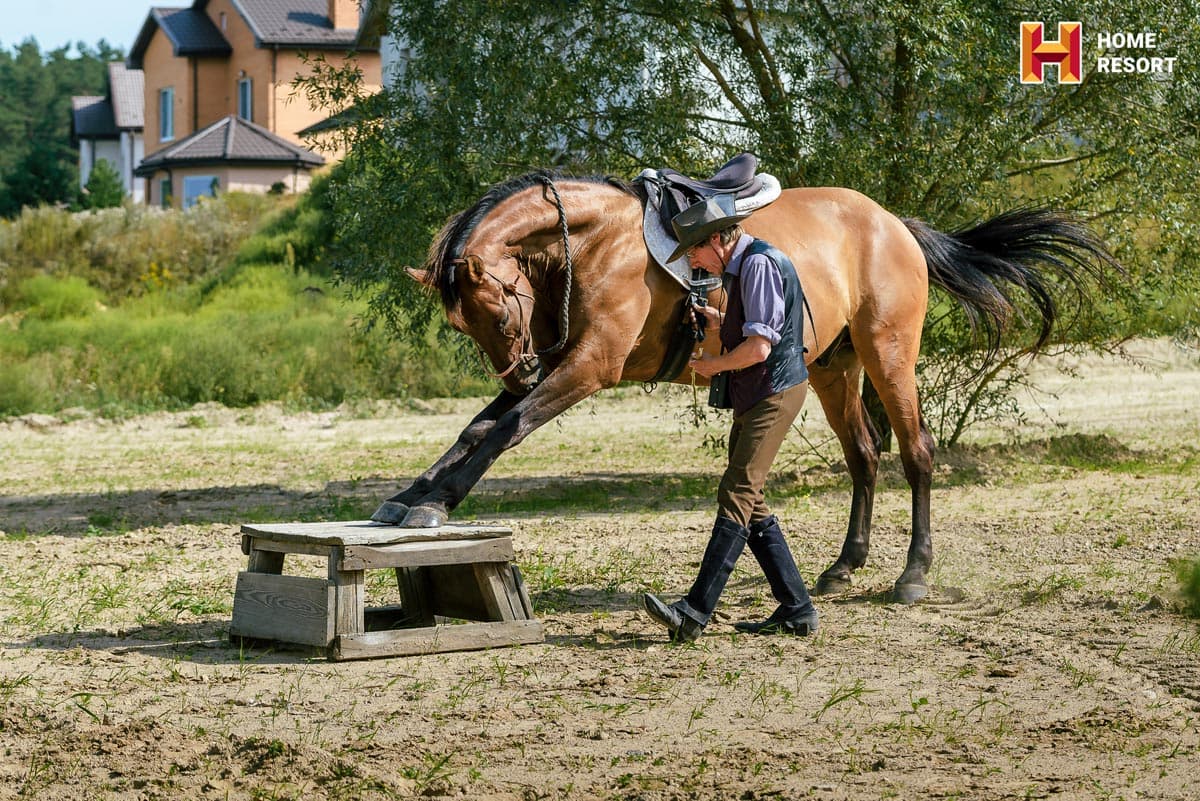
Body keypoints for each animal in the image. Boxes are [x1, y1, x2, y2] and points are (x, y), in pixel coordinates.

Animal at [371, 170, 1116, 604]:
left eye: (497, 313)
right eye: (463, 324)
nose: (520, 368)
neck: (593, 242)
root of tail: (894, 223)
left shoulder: (586, 366)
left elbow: (506, 427)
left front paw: (432, 505)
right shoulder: (561, 361)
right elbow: (475, 426)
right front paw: (410, 498)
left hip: (889, 356)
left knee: (917, 454)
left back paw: (912, 575)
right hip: (834, 368)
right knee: (864, 457)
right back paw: (844, 566)